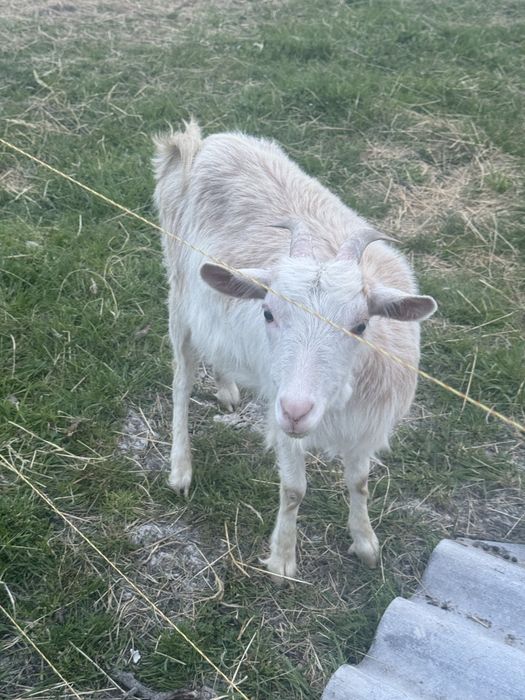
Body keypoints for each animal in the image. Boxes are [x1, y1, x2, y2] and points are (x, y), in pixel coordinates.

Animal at [153, 120, 437, 581]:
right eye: (268, 312)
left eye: (361, 325)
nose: (296, 410)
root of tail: (203, 144)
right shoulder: (278, 406)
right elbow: (294, 488)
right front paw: (283, 558)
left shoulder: (366, 425)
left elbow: (359, 482)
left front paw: (366, 544)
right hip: (179, 295)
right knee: (181, 382)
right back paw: (181, 468)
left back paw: (227, 389)